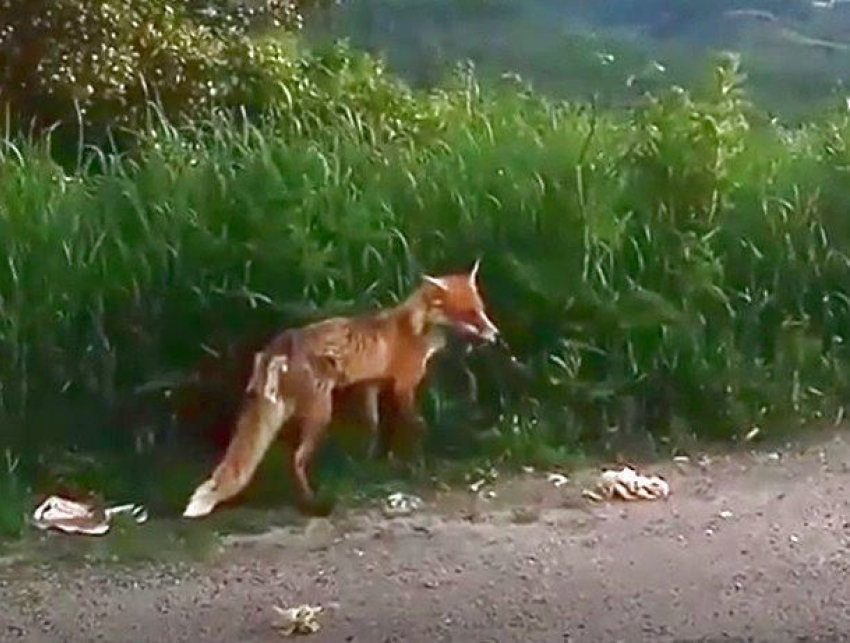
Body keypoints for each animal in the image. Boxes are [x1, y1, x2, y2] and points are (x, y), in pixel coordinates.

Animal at [181, 260, 496, 520]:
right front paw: (417, 463)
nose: (495, 334)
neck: (416, 328)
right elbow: (415, 426)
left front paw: (370, 462)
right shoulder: (404, 385)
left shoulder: (371, 384)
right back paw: (313, 504)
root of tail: (279, 345)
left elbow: (373, 426)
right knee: (296, 460)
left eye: (481, 309)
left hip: (287, 409)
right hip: (321, 413)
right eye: (469, 313)